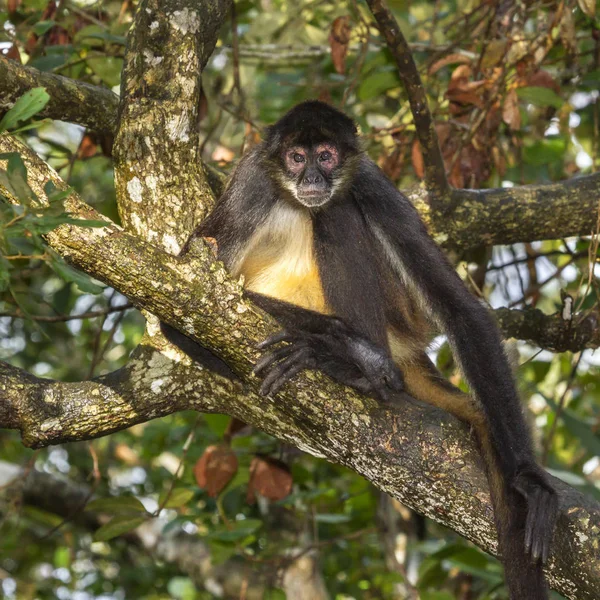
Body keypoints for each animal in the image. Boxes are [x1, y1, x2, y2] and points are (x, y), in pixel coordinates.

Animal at [163, 101, 556, 596]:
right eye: (296, 158)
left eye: (327, 156)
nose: (314, 178)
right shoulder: (251, 182)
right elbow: (175, 321)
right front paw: (341, 348)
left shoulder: (369, 179)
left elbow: (464, 310)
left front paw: (528, 479)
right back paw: (351, 358)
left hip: (399, 316)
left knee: (338, 213)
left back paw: (354, 363)